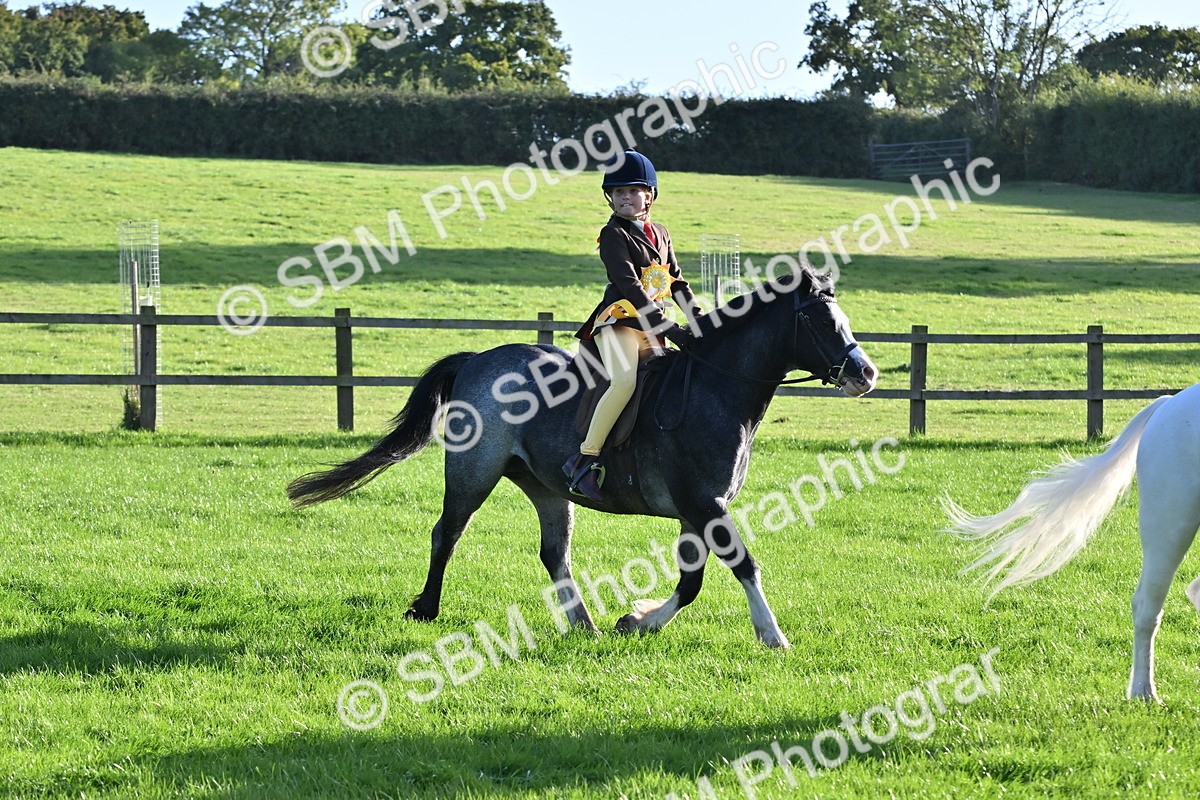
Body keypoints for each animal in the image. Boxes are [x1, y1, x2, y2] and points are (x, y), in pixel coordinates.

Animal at [287, 267, 877, 647]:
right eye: (821, 322)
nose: (865, 374)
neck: (716, 389)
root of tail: (478, 359)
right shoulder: (705, 504)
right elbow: (742, 564)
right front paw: (772, 634)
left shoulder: (696, 511)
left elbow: (690, 583)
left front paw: (637, 622)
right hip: (474, 472)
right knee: (447, 533)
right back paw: (426, 609)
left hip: (547, 488)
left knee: (554, 554)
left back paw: (584, 624)